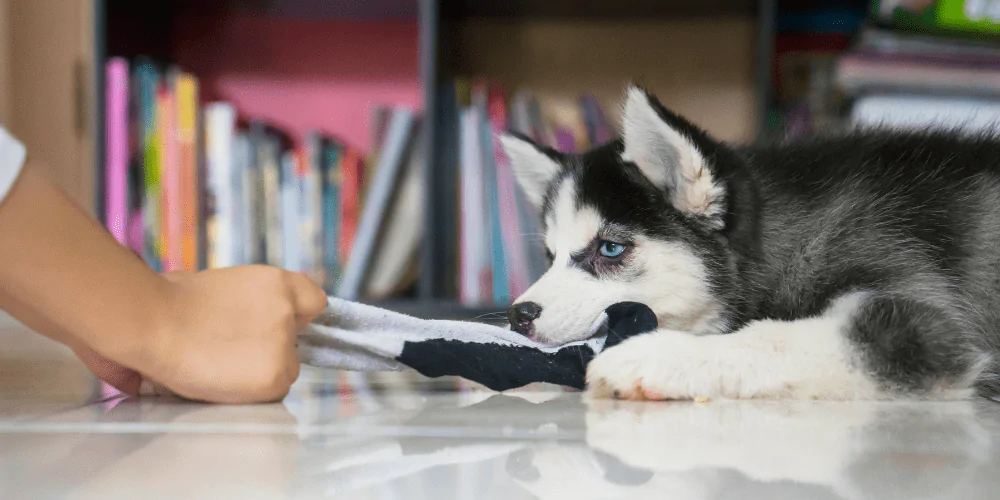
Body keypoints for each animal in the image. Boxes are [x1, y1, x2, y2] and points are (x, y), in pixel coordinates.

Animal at [504, 85, 1000, 398]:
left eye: (610, 248)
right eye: (549, 256)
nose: (518, 315)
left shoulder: (922, 322)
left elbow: (771, 338)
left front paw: (658, 356)